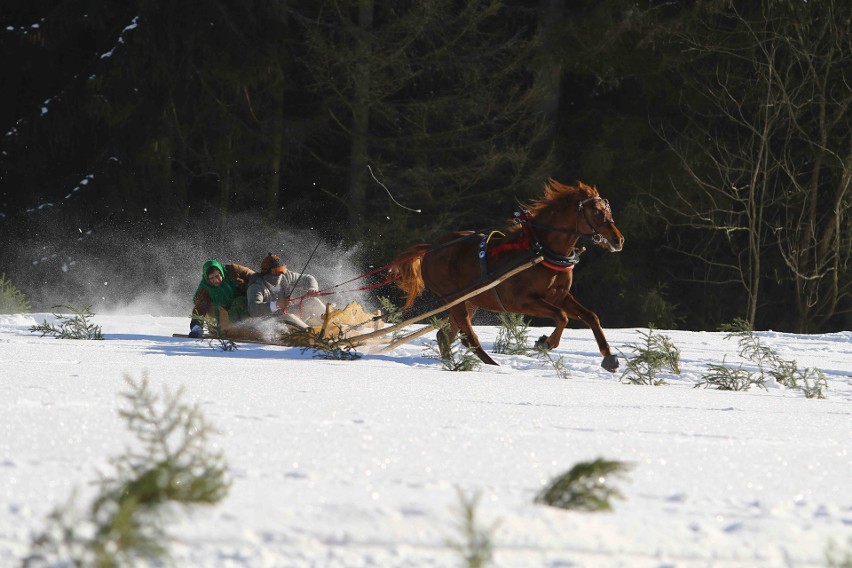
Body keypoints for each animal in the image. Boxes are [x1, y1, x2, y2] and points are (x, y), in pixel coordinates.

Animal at [392, 180, 624, 370]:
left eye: (607, 209)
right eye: (596, 211)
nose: (618, 240)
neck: (541, 249)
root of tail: (431, 248)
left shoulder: (559, 296)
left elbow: (590, 316)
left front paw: (608, 356)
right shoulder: (522, 301)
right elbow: (561, 316)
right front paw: (546, 342)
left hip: (469, 300)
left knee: (446, 335)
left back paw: (453, 362)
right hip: (454, 298)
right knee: (468, 335)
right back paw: (492, 366)